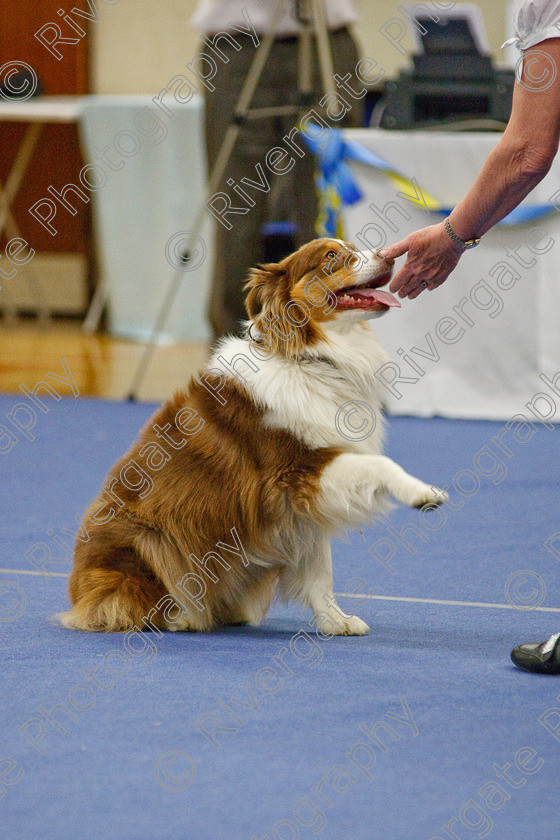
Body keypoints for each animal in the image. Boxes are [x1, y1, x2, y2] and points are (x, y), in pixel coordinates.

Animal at [59, 240, 446, 632]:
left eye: (352, 248)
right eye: (331, 257)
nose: (388, 255)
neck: (308, 357)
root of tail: (77, 594)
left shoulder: (298, 504)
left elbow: (320, 571)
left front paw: (335, 622)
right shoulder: (294, 471)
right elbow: (380, 465)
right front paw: (422, 493)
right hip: (151, 538)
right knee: (126, 602)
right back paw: (181, 616)